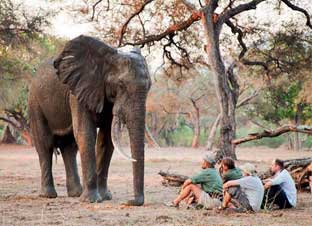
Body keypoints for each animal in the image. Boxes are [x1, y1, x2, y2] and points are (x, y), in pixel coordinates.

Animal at [28, 35, 151, 205]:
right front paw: (91, 200)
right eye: (120, 85)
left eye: (149, 87)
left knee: (69, 147)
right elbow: (86, 133)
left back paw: (76, 193)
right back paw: (49, 195)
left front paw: (105, 197)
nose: (130, 201)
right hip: (35, 102)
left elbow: (106, 140)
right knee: (45, 144)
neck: (109, 56)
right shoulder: (77, 93)